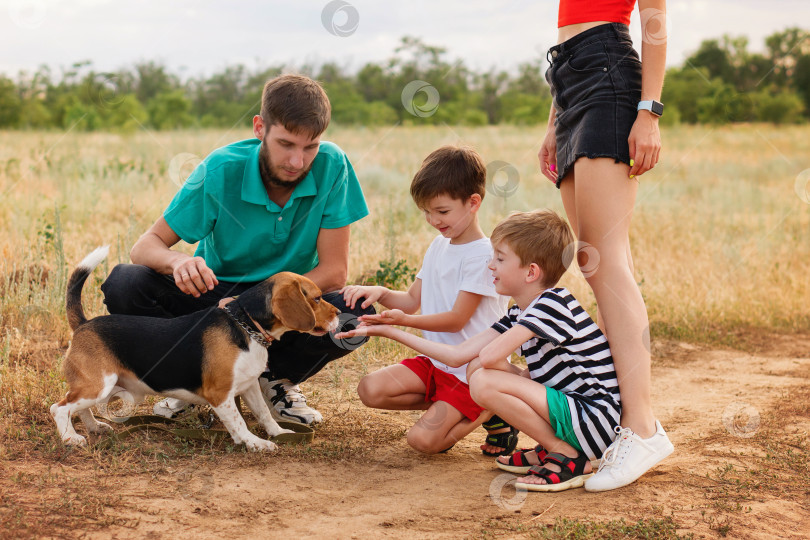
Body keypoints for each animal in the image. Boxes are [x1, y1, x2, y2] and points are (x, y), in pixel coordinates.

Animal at [49, 248, 340, 452]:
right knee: (59, 408)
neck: (246, 326)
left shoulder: (248, 386)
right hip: (99, 385)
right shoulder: (220, 394)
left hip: (102, 387)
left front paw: (279, 433)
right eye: (317, 298)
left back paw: (94, 427)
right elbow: (239, 422)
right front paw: (254, 442)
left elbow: (264, 414)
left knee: (79, 408)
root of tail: (84, 323)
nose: (339, 313)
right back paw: (71, 438)